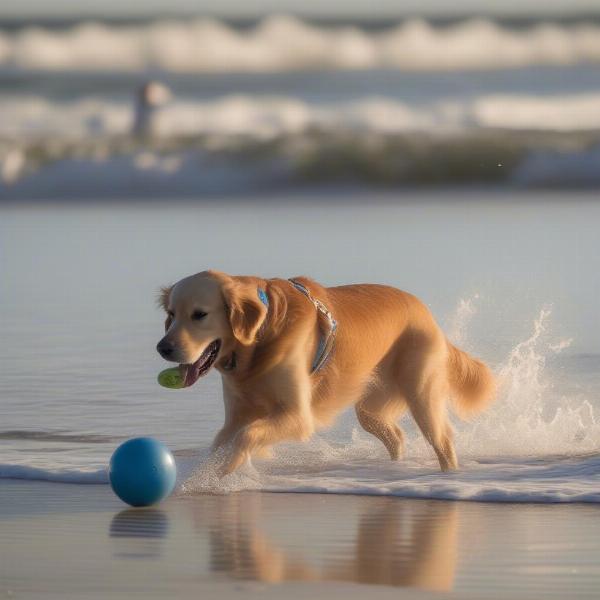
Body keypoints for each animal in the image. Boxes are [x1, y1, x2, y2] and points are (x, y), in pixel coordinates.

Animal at [157, 270, 494, 474]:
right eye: (171, 314)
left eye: (199, 315)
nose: (163, 348)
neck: (260, 340)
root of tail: (425, 313)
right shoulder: (237, 414)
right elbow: (223, 439)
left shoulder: (297, 415)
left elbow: (247, 435)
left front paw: (225, 472)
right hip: (369, 409)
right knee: (395, 435)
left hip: (422, 395)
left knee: (443, 442)